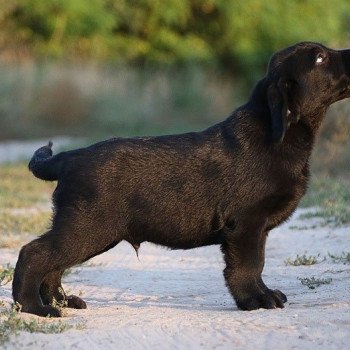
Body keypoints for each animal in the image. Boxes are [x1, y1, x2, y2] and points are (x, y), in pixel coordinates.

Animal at [12, 41, 348, 318]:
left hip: (90, 231)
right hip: (86, 227)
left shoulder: (256, 229)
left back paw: (61, 302)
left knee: (53, 264)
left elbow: (257, 264)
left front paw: (263, 294)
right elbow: (248, 266)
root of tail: (69, 157)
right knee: (35, 253)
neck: (275, 135)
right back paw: (33, 308)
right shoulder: (245, 224)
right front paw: (255, 300)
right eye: (319, 58)